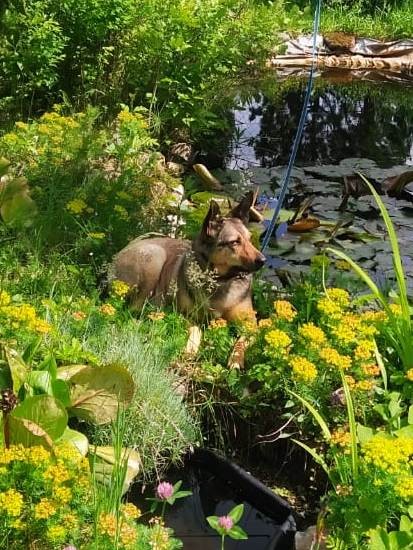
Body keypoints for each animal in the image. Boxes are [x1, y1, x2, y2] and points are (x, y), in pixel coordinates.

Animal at [109, 192, 264, 324]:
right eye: (234, 242)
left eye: (250, 239)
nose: (263, 261)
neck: (220, 280)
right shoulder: (189, 318)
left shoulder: (249, 326)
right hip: (155, 257)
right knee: (133, 308)